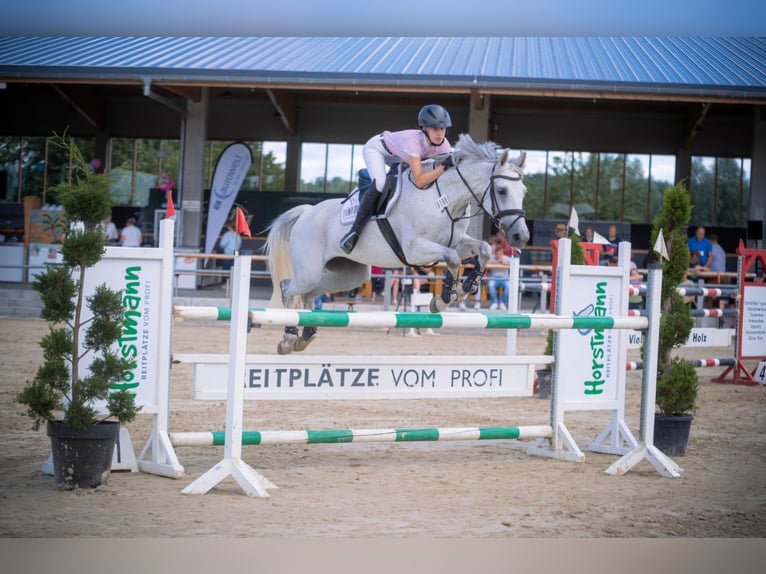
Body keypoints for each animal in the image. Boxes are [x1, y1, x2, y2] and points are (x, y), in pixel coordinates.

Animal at [266, 135, 528, 356]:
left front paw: (467, 286)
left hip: (349, 274)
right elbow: (452, 257)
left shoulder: (457, 241)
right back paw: (289, 338)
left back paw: (306, 335)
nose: (521, 237)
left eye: (524, 191)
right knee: (288, 288)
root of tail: (306, 212)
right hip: (309, 271)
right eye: (502, 190)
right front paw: (443, 298)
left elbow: (482, 249)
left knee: (310, 293)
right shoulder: (414, 249)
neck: (444, 200)